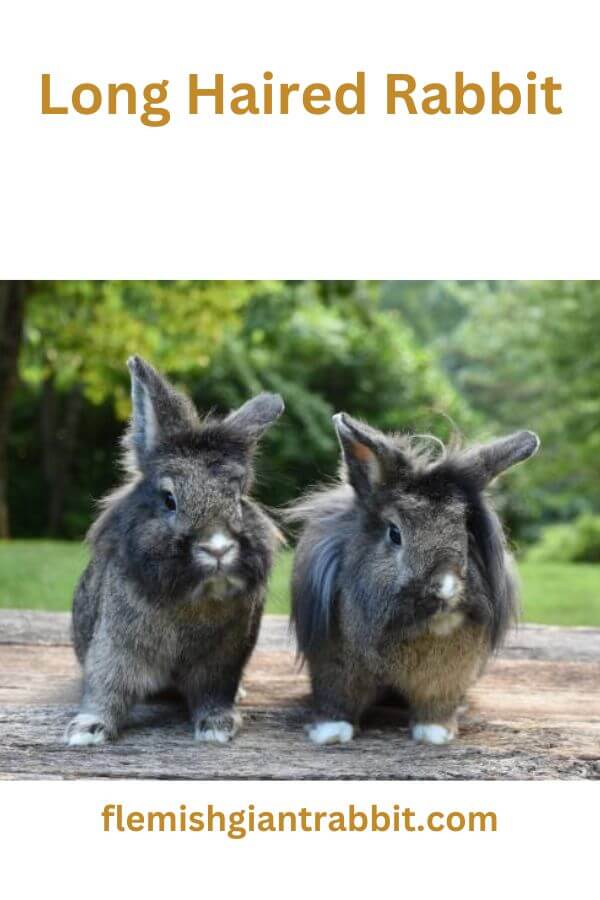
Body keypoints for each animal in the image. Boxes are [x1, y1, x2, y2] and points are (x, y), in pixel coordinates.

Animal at [66, 356, 284, 744]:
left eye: (239, 498)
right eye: (169, 500)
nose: (217, 548)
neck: (191, 599)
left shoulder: (221, 665)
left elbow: (213, 695)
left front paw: (217, 728)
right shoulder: (115, 649)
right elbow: (106, 689)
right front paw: (86, 731)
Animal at [286, 414, 540, 744]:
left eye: (466, 535)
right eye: (395, 534)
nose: (446, 589)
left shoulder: (446, 679)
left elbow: (436, 707)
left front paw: (435, 734)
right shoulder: (334, 668)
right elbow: (336, 701)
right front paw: (331, 734)